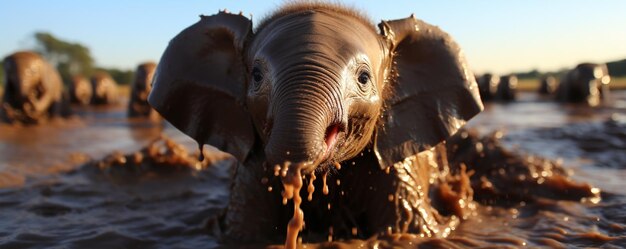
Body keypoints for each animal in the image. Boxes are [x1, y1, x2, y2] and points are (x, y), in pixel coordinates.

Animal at [146, 2, 482, 245]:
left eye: (363, 78)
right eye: (256, 76)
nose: (294, 169)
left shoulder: (395, 166)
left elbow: (408, 230)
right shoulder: (252, 166)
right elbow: (245, 233)